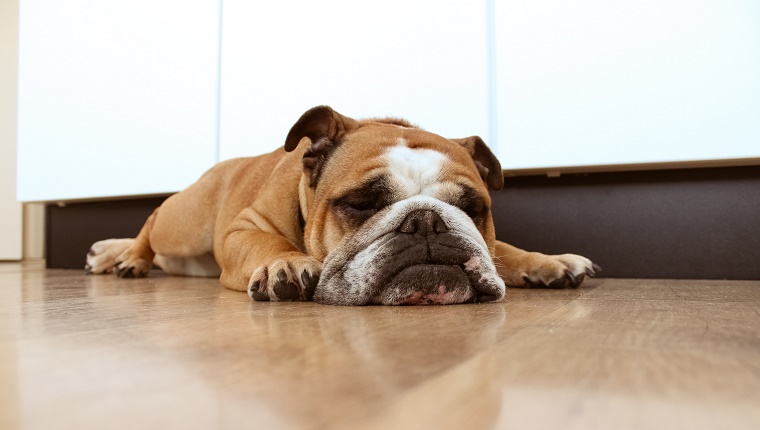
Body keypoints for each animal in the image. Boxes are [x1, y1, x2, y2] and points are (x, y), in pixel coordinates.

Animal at [86, 105, 600, 304]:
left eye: (473, 208)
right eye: (360, 203)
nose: (427, 221)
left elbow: (503, 249)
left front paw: (547, 262)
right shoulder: (243, 228)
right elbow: (266, 244)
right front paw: (287, 264)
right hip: (186, 222)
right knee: (153, 220)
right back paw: (124, 255)